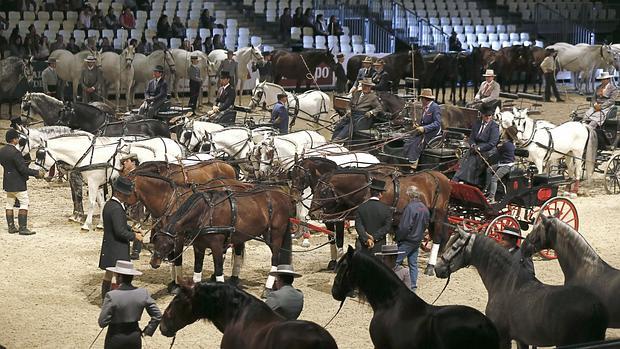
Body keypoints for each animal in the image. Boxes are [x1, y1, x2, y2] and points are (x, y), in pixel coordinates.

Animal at [32, 135, 184, 230]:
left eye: (41, 155)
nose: (38, 173)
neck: (88, 156)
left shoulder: (92, 182)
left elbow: (92, 203)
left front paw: (86, 225)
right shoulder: (99, 183)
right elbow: (102, 203)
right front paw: (101, 224)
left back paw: (139, 223)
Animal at [308, 169, 450, 274]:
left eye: (323, 191)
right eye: (313, 189)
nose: (312, 214)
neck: (365, 189)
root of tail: (442, 177)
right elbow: (339, 239)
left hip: (438, 216)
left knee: (437, 238)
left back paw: (430, 266)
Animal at [438, 228, 608, 348]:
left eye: (454, 246)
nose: (438, 268)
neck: (507, 284)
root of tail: (594, 304)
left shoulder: (504, 337)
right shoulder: (522, 339)